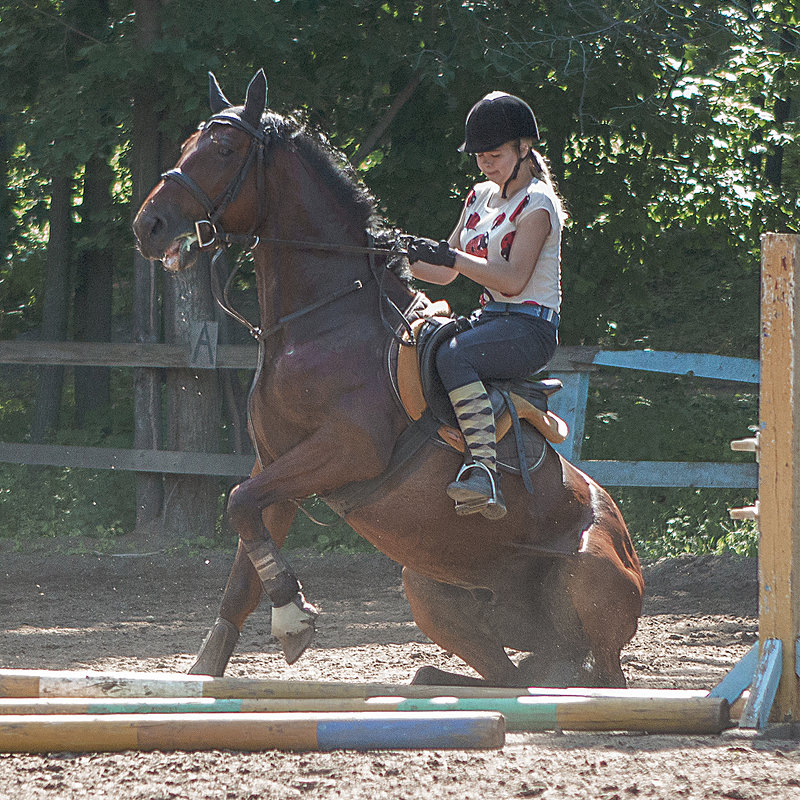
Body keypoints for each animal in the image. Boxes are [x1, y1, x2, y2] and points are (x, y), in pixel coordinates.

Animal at [133, 70, 644, 688]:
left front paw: (292, 617)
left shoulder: (346, 449)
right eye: (188, 143)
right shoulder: (273, 463)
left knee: (604, 674)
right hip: (429, 586)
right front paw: (232, 649)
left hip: (589, 572)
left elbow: (237, 503)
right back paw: (436, 678)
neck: (325, 322)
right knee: (513, 677)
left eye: (225, 150)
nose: (149, 226)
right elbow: (242, 547)